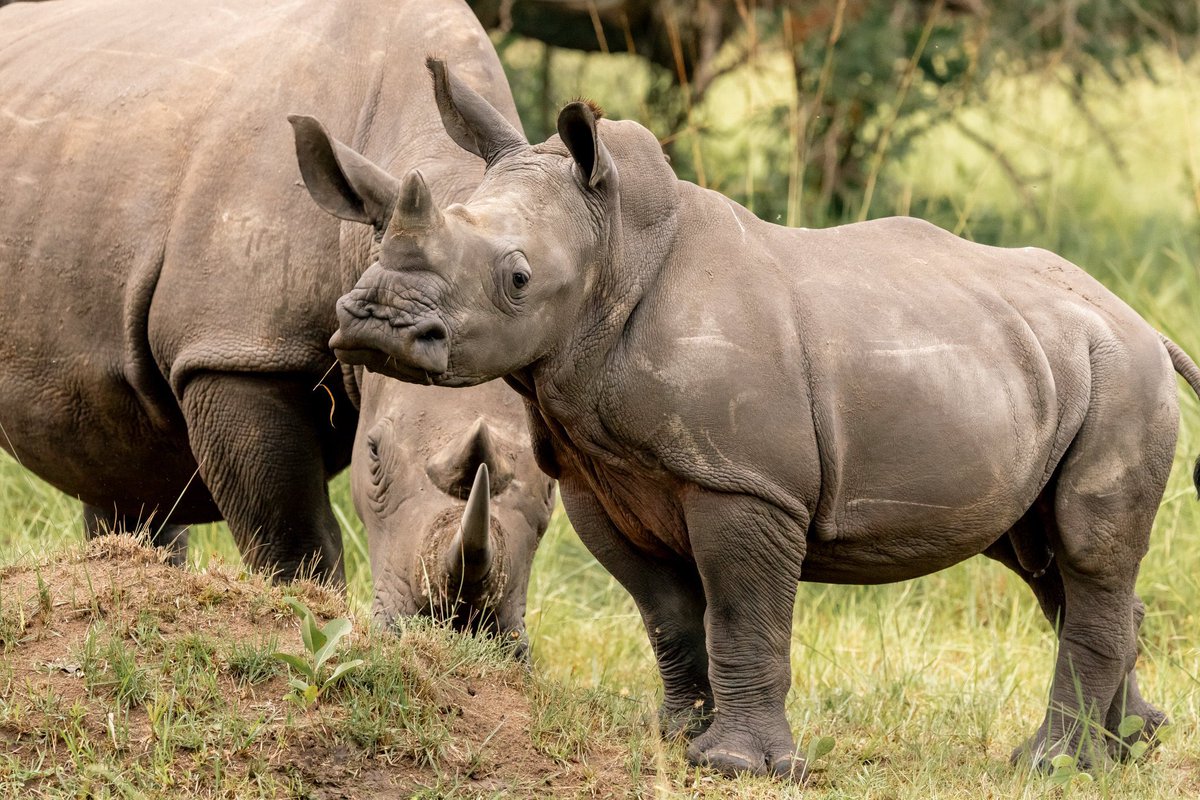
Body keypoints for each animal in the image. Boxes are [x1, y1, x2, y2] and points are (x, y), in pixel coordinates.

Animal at [0, 0, 553, 641]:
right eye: (373, 457)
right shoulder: (237, 352)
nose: (459, 630)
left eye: (552, 489)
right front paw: (307, 613)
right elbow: (292, 534)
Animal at [303, 59, 1200, 779]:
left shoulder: (746, 483)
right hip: (1047, 364)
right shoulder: (601, 478)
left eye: (517, 279)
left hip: (1122, 376)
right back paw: (1124, 751)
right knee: (1044, 555)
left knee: (1084, 551)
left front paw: (738, 766)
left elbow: (740, 613)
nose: (375, 324)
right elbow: (667, 614)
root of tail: (1143, 323)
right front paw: (676, 739)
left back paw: (1054, 766)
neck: (614, 251)